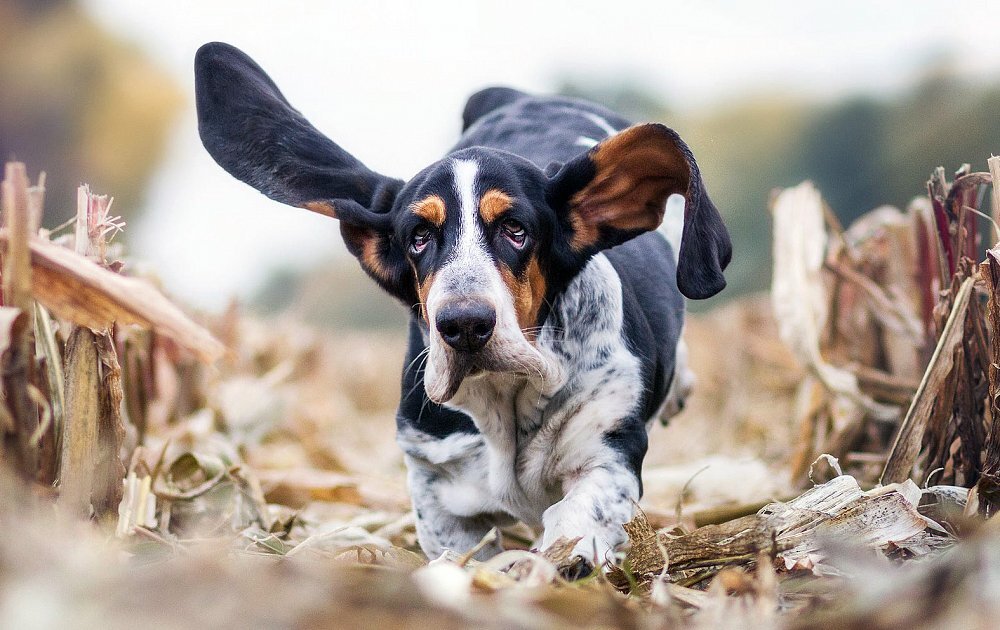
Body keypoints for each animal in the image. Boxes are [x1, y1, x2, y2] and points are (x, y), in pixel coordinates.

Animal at [195, 42, 732, 572]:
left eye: (516, 230)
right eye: (418, 236)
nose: (465, 325)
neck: (504, 398)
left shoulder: (608, 449)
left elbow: (579, 514)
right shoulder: (435, 487)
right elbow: (460, 554)